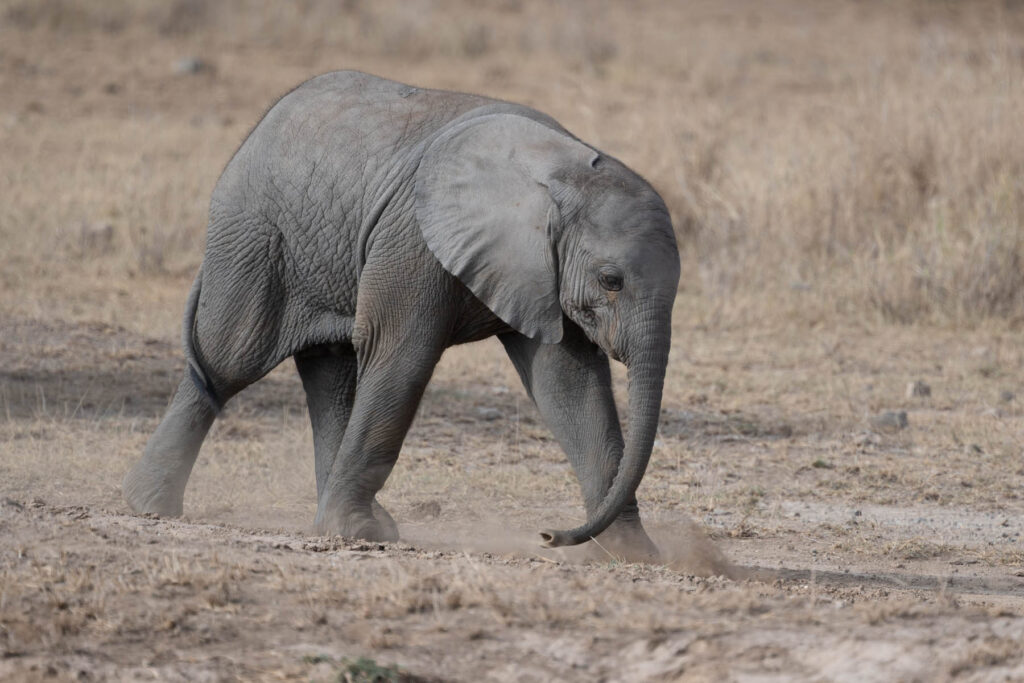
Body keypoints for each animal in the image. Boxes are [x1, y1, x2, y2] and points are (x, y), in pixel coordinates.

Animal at [122, 70, 680, 559]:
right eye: (611, 280)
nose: (546, 535)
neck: (561, 167)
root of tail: (259, 127)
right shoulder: (413, 240)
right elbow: (401, 357)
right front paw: (357, 534)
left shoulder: (541, 270)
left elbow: (570, 386)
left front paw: (633, 555)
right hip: (253, 237)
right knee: (225, 364)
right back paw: (149, 508)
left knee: (329, 377)